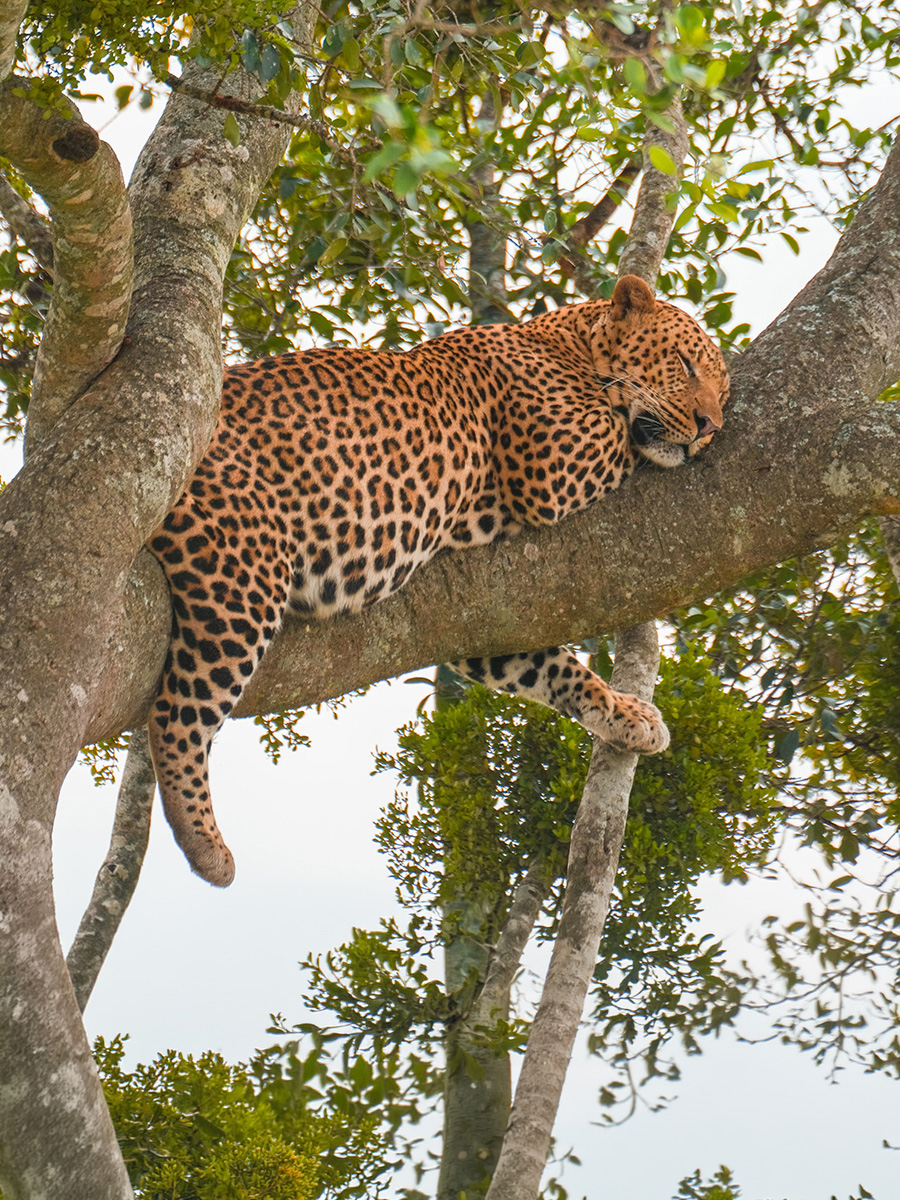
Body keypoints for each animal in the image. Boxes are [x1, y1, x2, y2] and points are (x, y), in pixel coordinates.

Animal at [147, 274, 729, 887]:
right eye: (685, 364)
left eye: (724, 391)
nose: (711, 426)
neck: (569, 342)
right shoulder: (555, 463)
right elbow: (628, 436)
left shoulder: (485, 626)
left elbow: (555, 669)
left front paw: (628, 716)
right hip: (242, 571)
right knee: (176, 717)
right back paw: (206, 844)